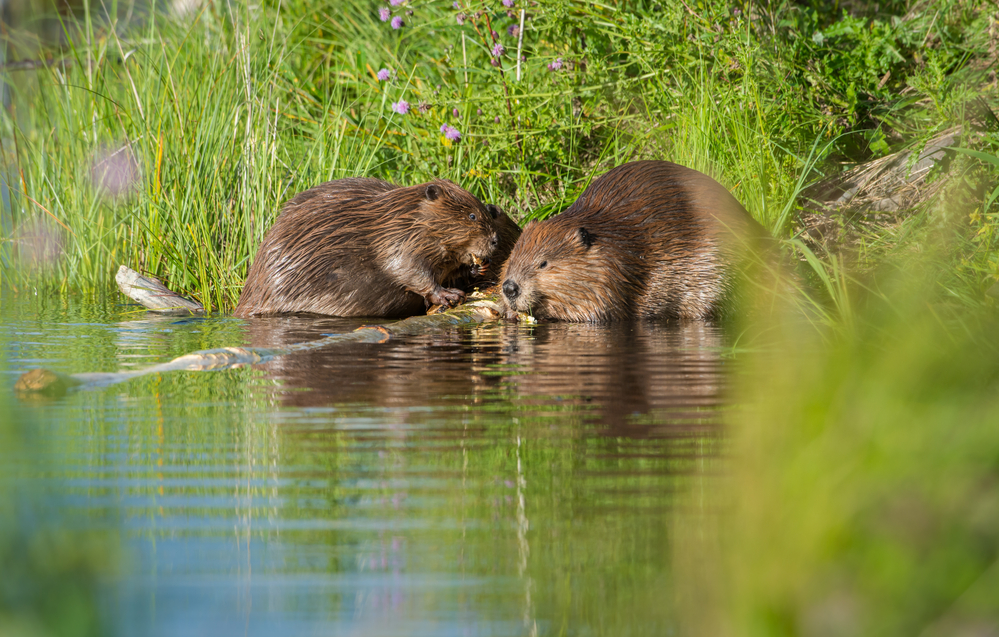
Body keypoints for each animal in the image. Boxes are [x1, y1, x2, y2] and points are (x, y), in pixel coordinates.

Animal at [234, 176, 500, 318]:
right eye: (472, 216)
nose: (495, 240)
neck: (405, 215)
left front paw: (478, 269)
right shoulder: (397, 239)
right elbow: (407, 269)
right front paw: (449, 295)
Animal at [500, 159, 772, 318]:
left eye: (543, 263)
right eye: (512, 258)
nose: (510, 288)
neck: (615, 242)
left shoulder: (609, 278)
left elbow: (596, 310)